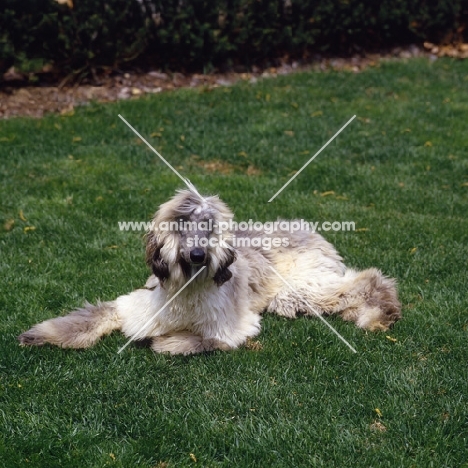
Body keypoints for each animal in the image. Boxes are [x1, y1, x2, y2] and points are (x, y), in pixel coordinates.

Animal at [19, 186, 402, 354]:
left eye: (209, 226)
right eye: (182, 224)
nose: (198, 254)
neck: (186, 290)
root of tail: (308, 228)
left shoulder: (232, 325)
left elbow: (195, 340)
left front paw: (166, 341)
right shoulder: (134, 305)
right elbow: (89, 318)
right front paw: (39, 335)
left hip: (301, 286)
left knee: (368, 279)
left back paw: (378, 315)